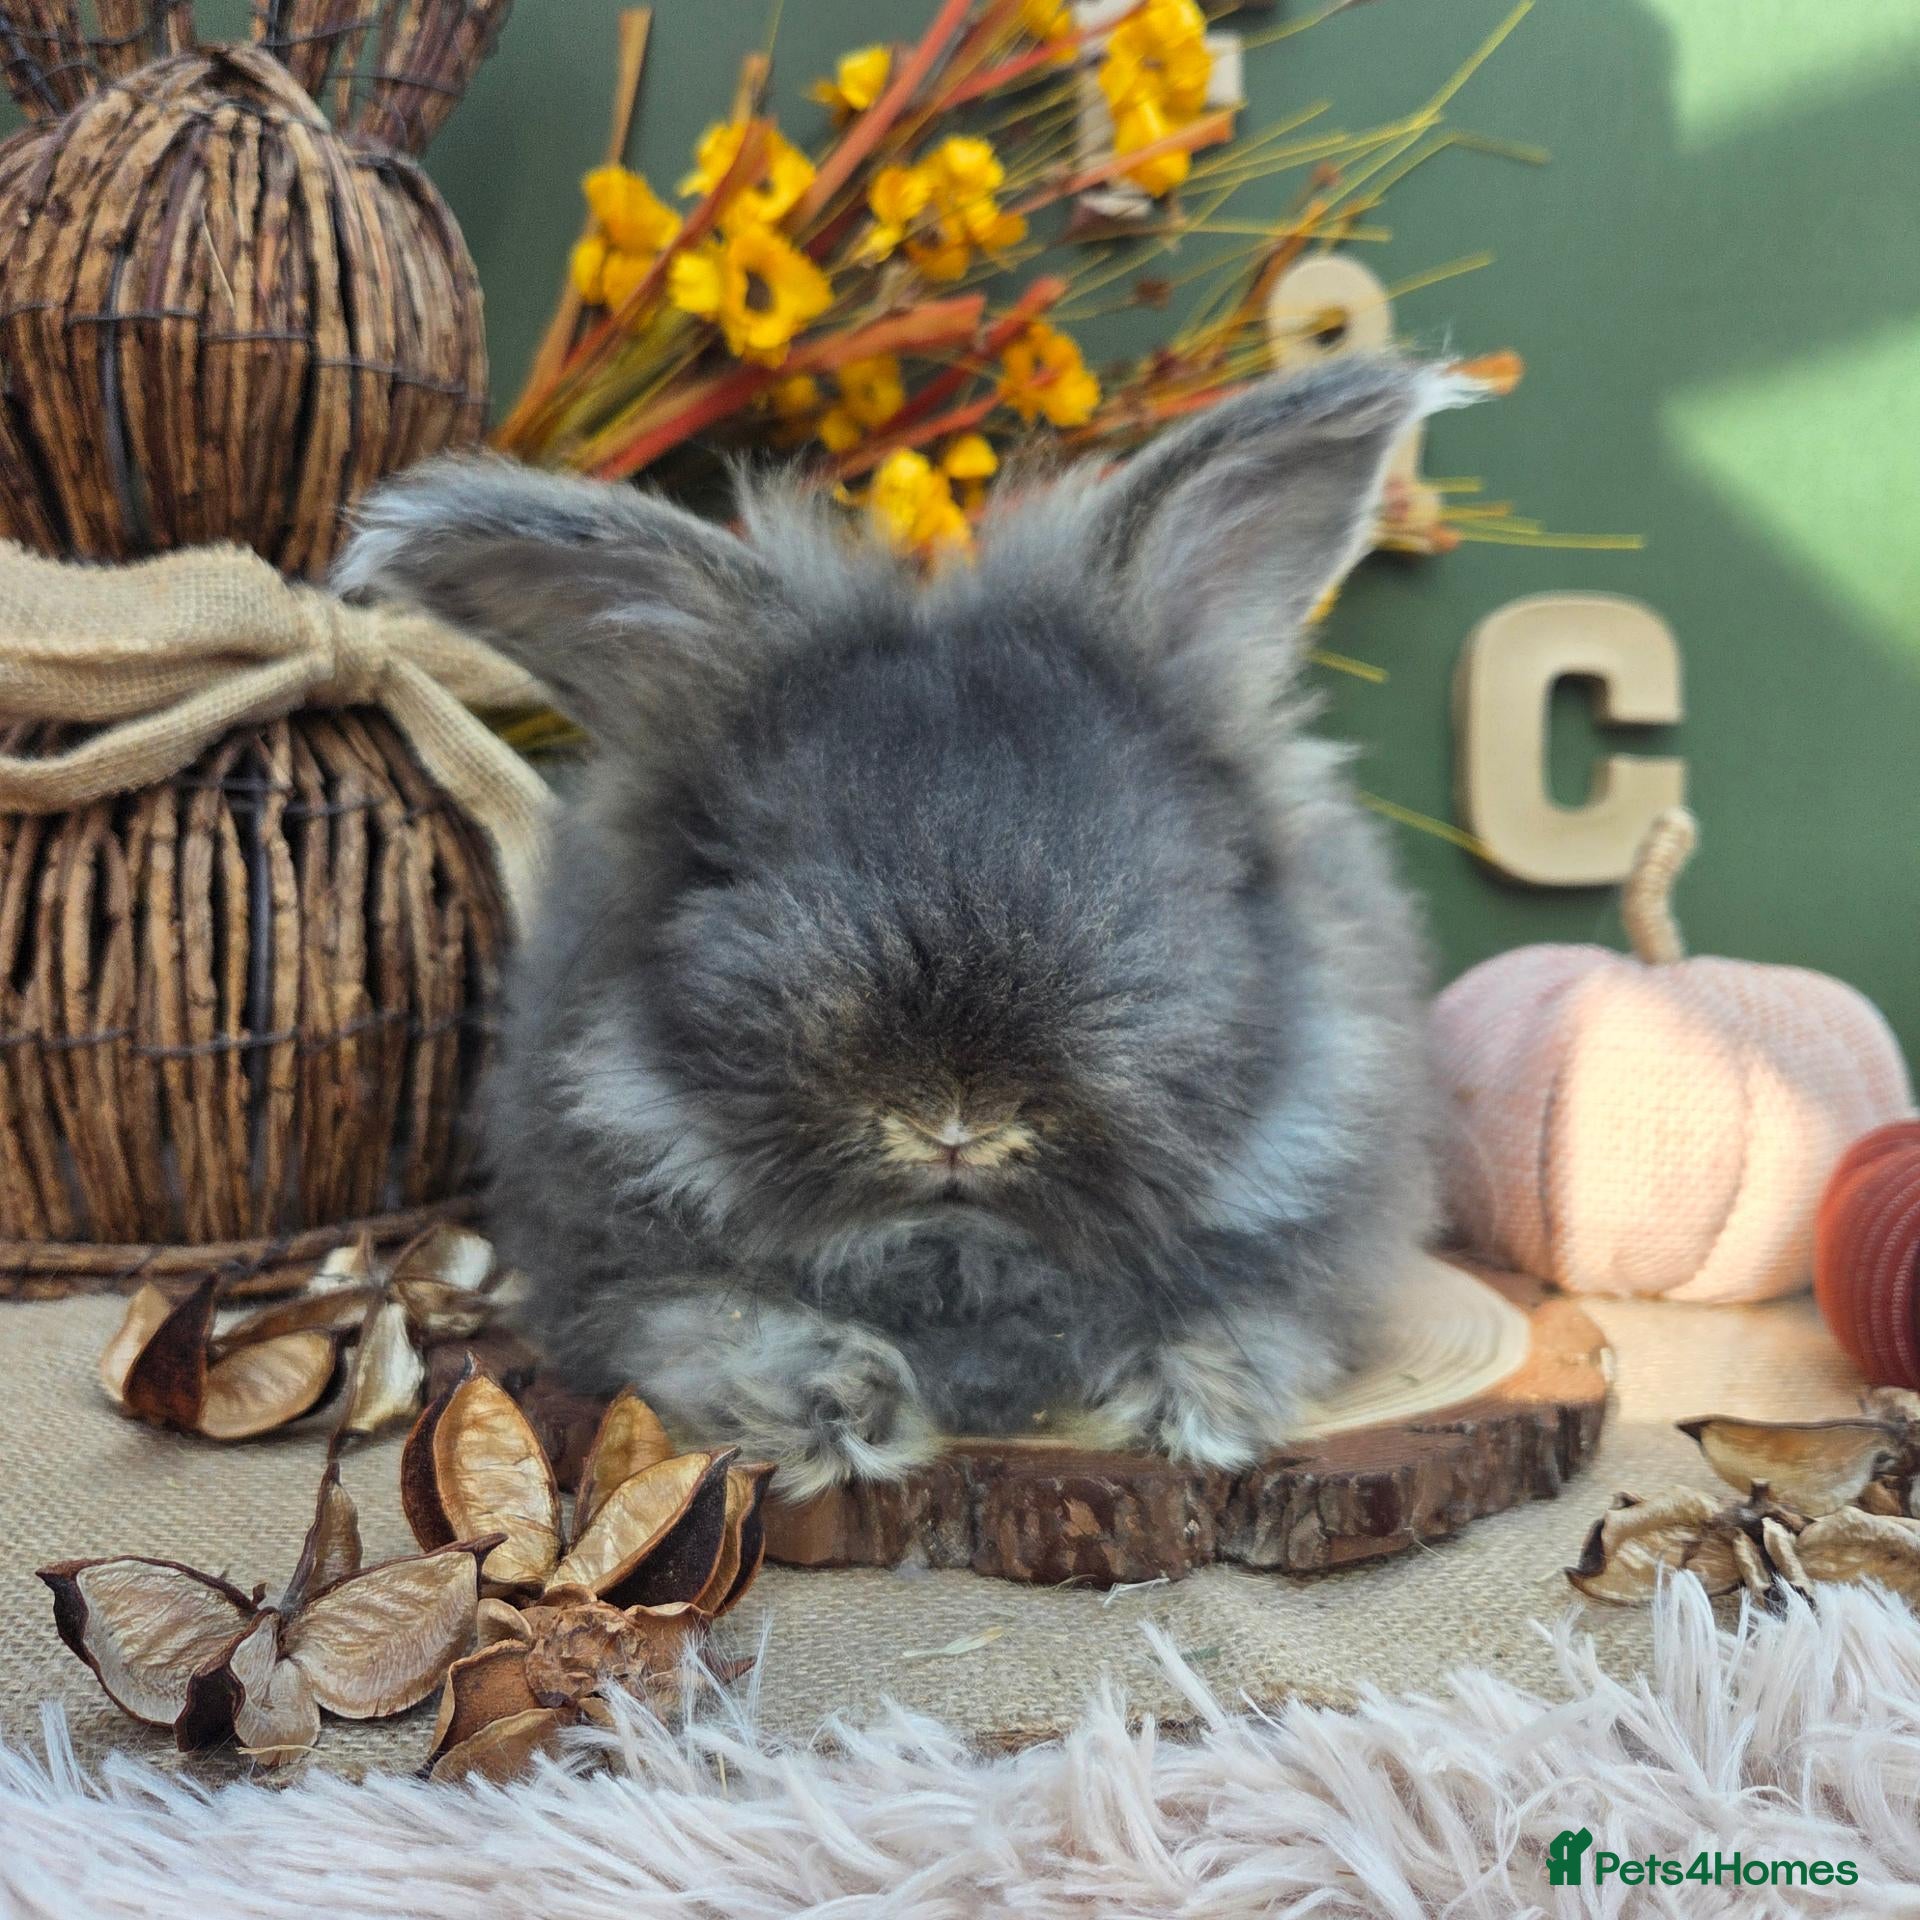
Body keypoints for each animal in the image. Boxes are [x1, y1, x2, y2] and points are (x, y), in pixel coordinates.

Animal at [335, 351, 1475, 1497]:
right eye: (738, 870)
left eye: (1165, 877)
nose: (955, 1118)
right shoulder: (632, 1280)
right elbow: (719, 1325)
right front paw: (831, 1408)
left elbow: (1248, 1316)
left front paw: (1194, 1407)